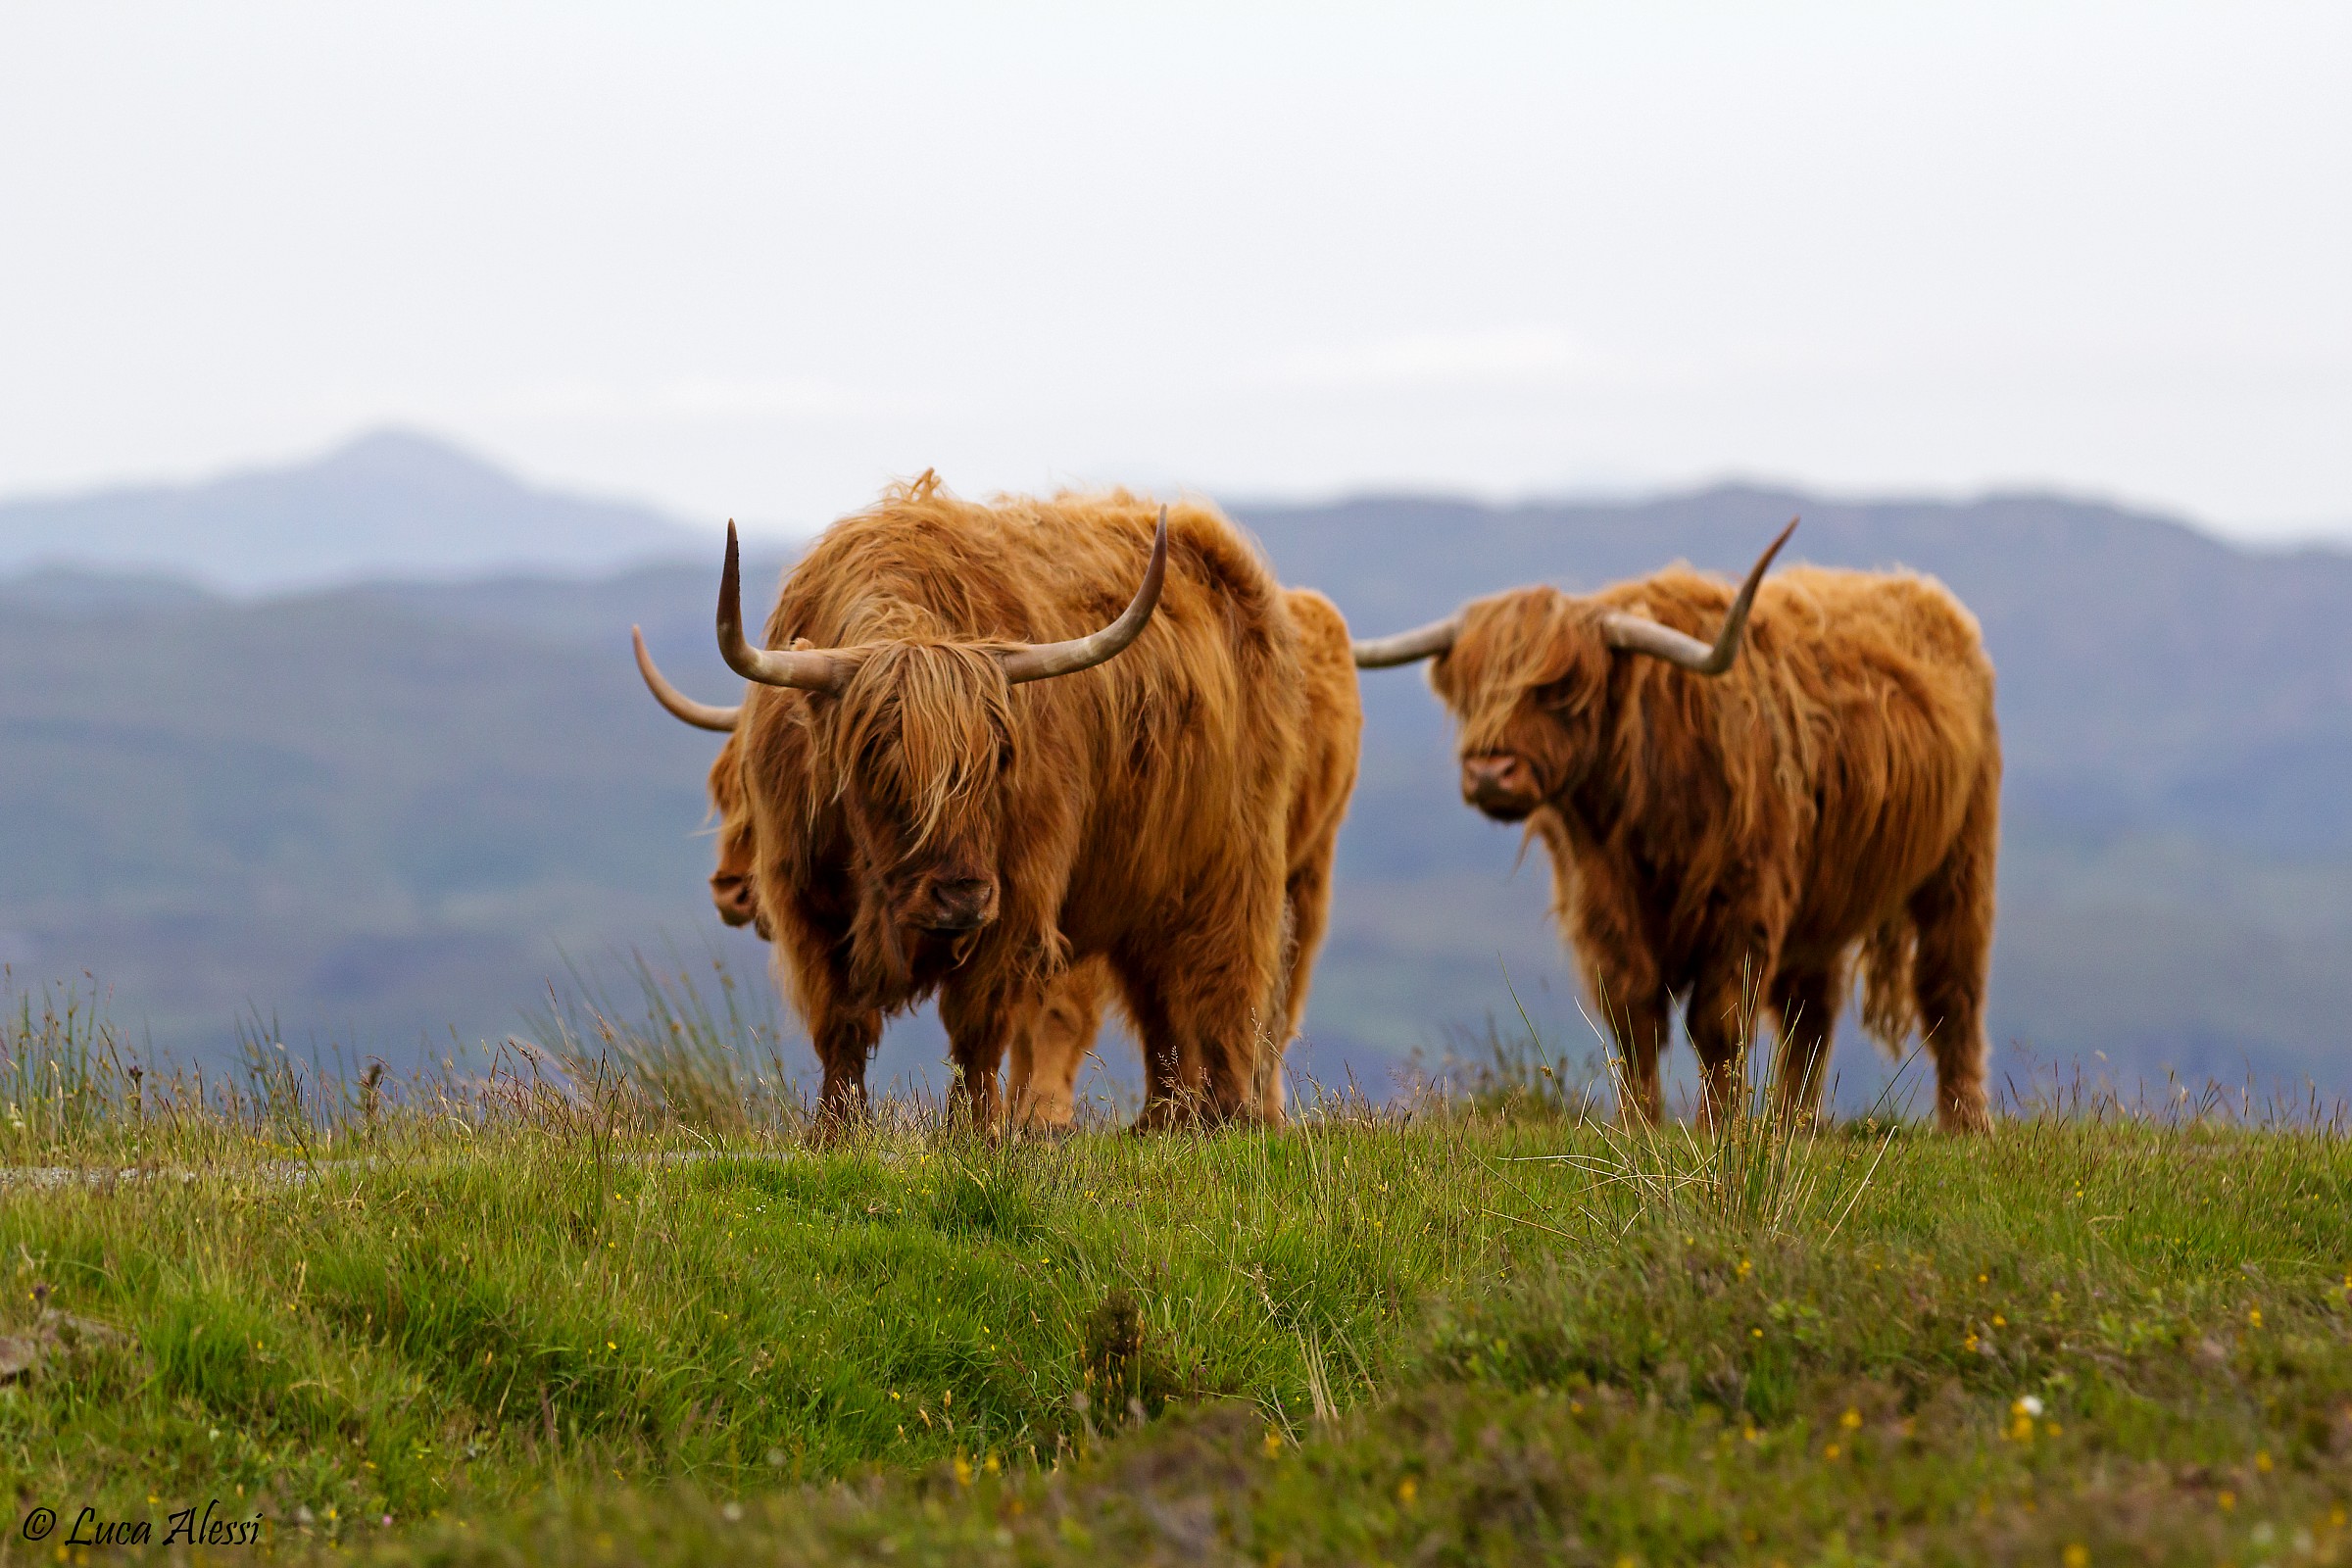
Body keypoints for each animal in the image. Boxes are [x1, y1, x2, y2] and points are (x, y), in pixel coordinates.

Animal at [630, 476, 1360, 1130]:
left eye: (1001, 762)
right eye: (878, 764)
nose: (960, 897)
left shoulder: (1019, 896)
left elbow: (977, 1029)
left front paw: (974, 1135)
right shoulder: (807, 903)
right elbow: (841, 1027)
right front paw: (835, 1134)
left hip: (1239, 872)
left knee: (1226, 990)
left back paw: (1230, 1120)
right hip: (1144, 893)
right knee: (1162, 1008)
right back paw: (1162, 1124)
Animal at [1350, 522, 2000, 1132]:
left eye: (1564, 689)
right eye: (1470, 690)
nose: (1489, 771)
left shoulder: (1746, 901)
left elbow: (1718, 1022)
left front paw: (1718, 1127)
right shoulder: (1602, 904)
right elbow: (1632, 1015)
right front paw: (1639, 1123)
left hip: (1962, 861)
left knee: (1951, 990)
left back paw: (1965, 1123)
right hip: (1825, 899)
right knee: (1811, 1010)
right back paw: (1793, 1122)